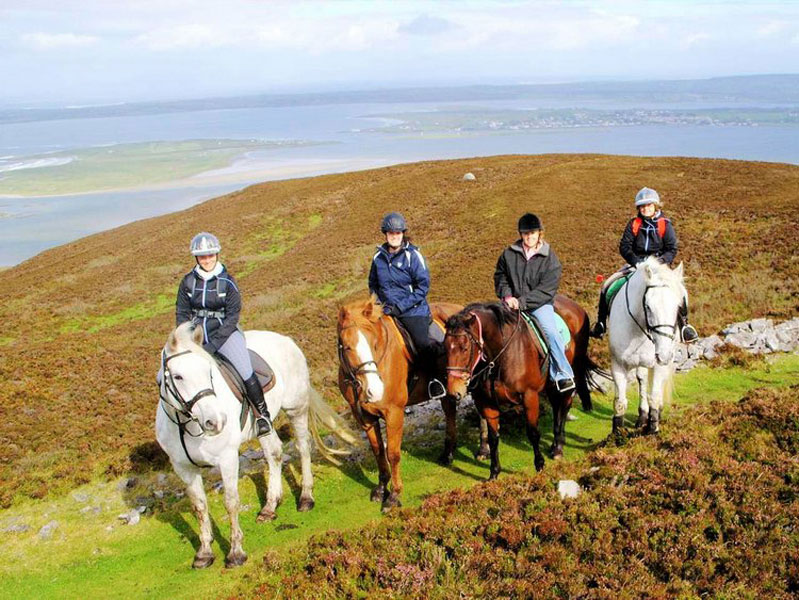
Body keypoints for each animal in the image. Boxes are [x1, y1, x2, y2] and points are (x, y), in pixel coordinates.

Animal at [155, 322, 355, 569]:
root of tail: (286, 340)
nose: (215, 421)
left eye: (209, 372)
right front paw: (204, 553)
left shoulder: (227, 459)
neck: (186, 425)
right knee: (274, 453)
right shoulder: (184, 469)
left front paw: (236, 552)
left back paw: (306, 498)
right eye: (178, 376)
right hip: (265, 426)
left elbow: (231, 502)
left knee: (303, 447)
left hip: (296, 409)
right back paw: (270, 506)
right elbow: (199, 507)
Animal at [337, 296, 489, 512]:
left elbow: (392, 453)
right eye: (347, 346)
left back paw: (483, 449)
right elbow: (378, 452)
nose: (374, 390)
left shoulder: (394, 413)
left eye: (374, 344)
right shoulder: (364, 418)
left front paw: (394, 495)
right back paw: (448, 453)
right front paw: (381, 488)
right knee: (450, 412)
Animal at [444, 294, 602, 480]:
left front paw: (539, 465)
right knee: (557, 407)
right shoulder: (487, 402)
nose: (454, 391)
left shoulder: (529, 396)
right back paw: (555, 444)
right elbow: (493, 437)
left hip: (573, 371)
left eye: (465, 347)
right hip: (550, 384)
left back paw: (558, 447)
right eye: (445, 347)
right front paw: (494, 473)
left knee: (565, 405)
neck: (501, 357)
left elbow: (533, 433)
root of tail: (576, 307)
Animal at [607, 257, 684, 435]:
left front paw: (652, 429)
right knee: (641, 380)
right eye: (648, 306)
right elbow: (619, 401)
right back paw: (642, 416)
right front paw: (616, 434)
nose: (663, 354)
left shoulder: (658, 364)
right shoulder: (618, 364)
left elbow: (654, 396)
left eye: (678, 306)